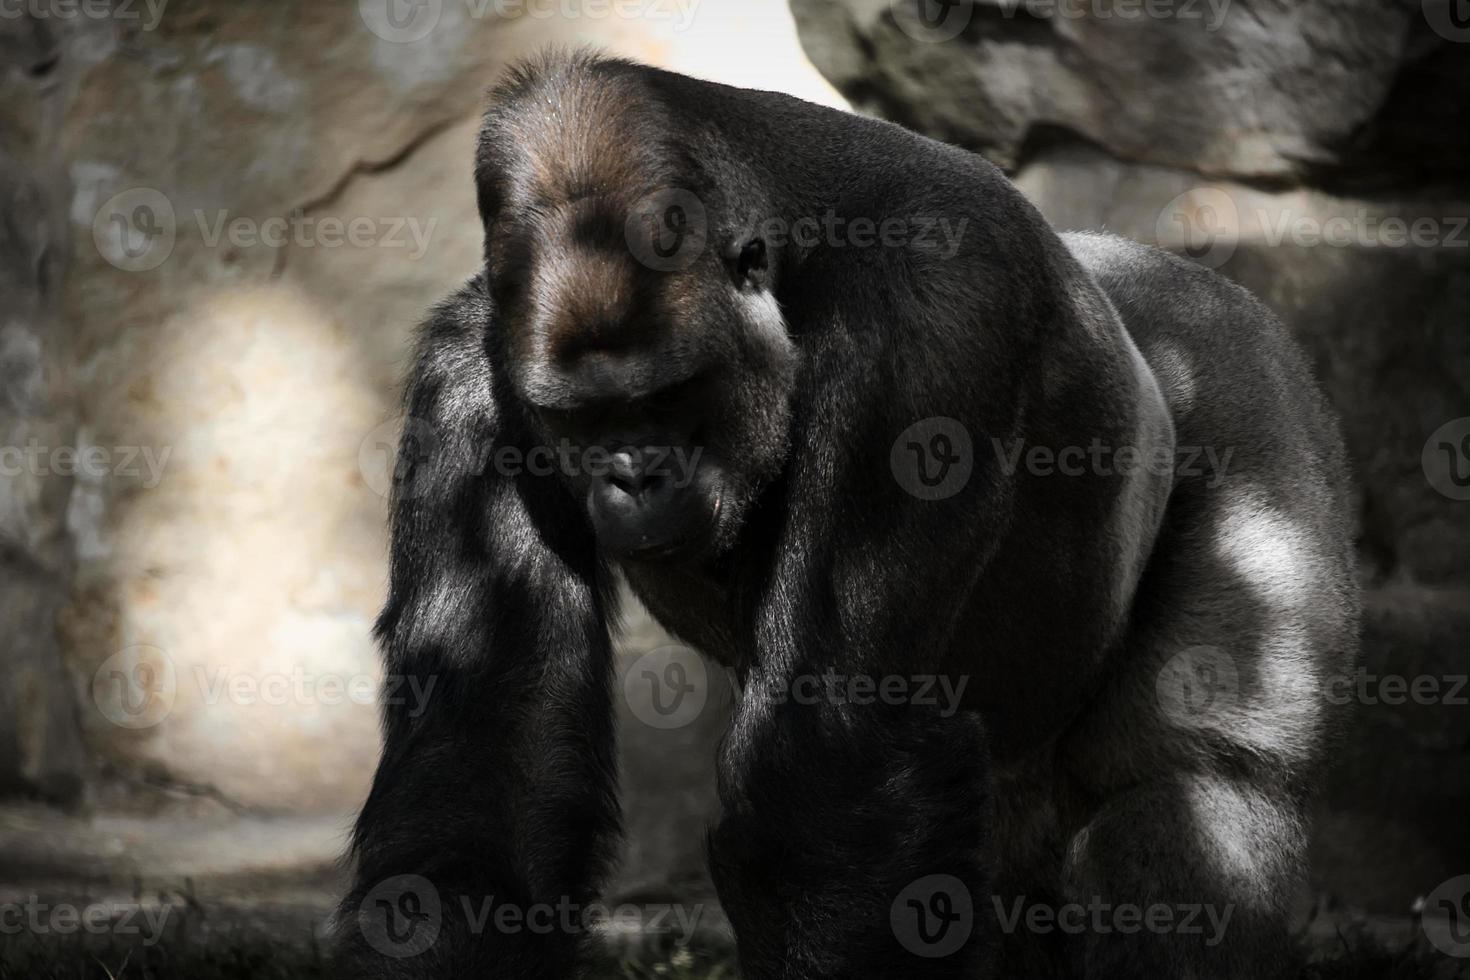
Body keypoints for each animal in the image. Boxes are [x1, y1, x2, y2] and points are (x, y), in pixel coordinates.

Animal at [330, 51, 1352, 980]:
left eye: (669, 396)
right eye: (580, 421)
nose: (633, 478)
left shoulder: (932, 329)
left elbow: (820, 777)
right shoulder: (473, 371)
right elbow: (492, 755)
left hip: (1248, 384)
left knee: (1193, 781)